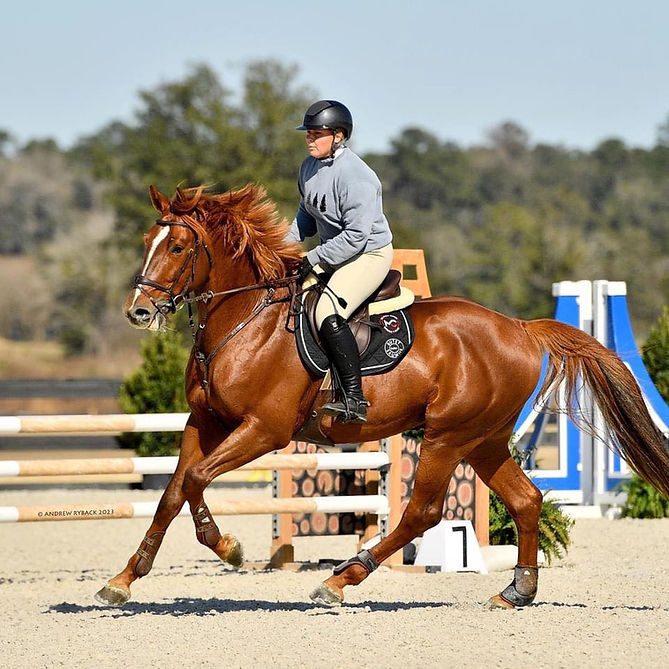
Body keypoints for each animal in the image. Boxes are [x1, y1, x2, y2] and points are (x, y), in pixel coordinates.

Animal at [95, 183, 669, 610]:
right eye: (147, 239)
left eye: (177, 247)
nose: (138, 311)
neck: (244, 321)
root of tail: (520, 328)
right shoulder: (206, 422)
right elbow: (172, 493)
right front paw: (123, 581)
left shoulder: (264, 430)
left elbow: (195, 479)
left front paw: (229, 548)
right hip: (483, 440)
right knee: (526, 499)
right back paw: (516, 591)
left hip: (446, 437)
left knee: (423, 512)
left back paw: (341, 579)